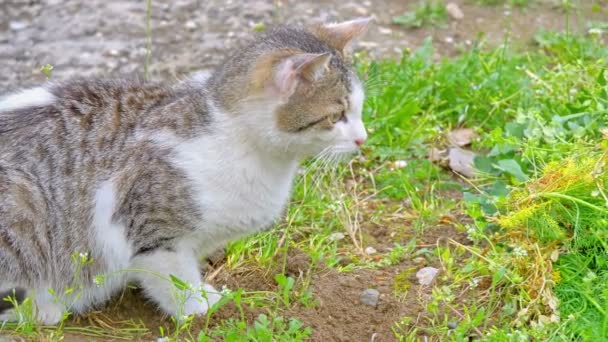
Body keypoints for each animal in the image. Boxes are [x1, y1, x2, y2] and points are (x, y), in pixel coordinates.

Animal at [0, 17, 370, 324]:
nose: (363, 139)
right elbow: (175, 280)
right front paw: (201, 310)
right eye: (336, 116)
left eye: (360, 109)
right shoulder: (153, 234)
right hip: (22, 203)